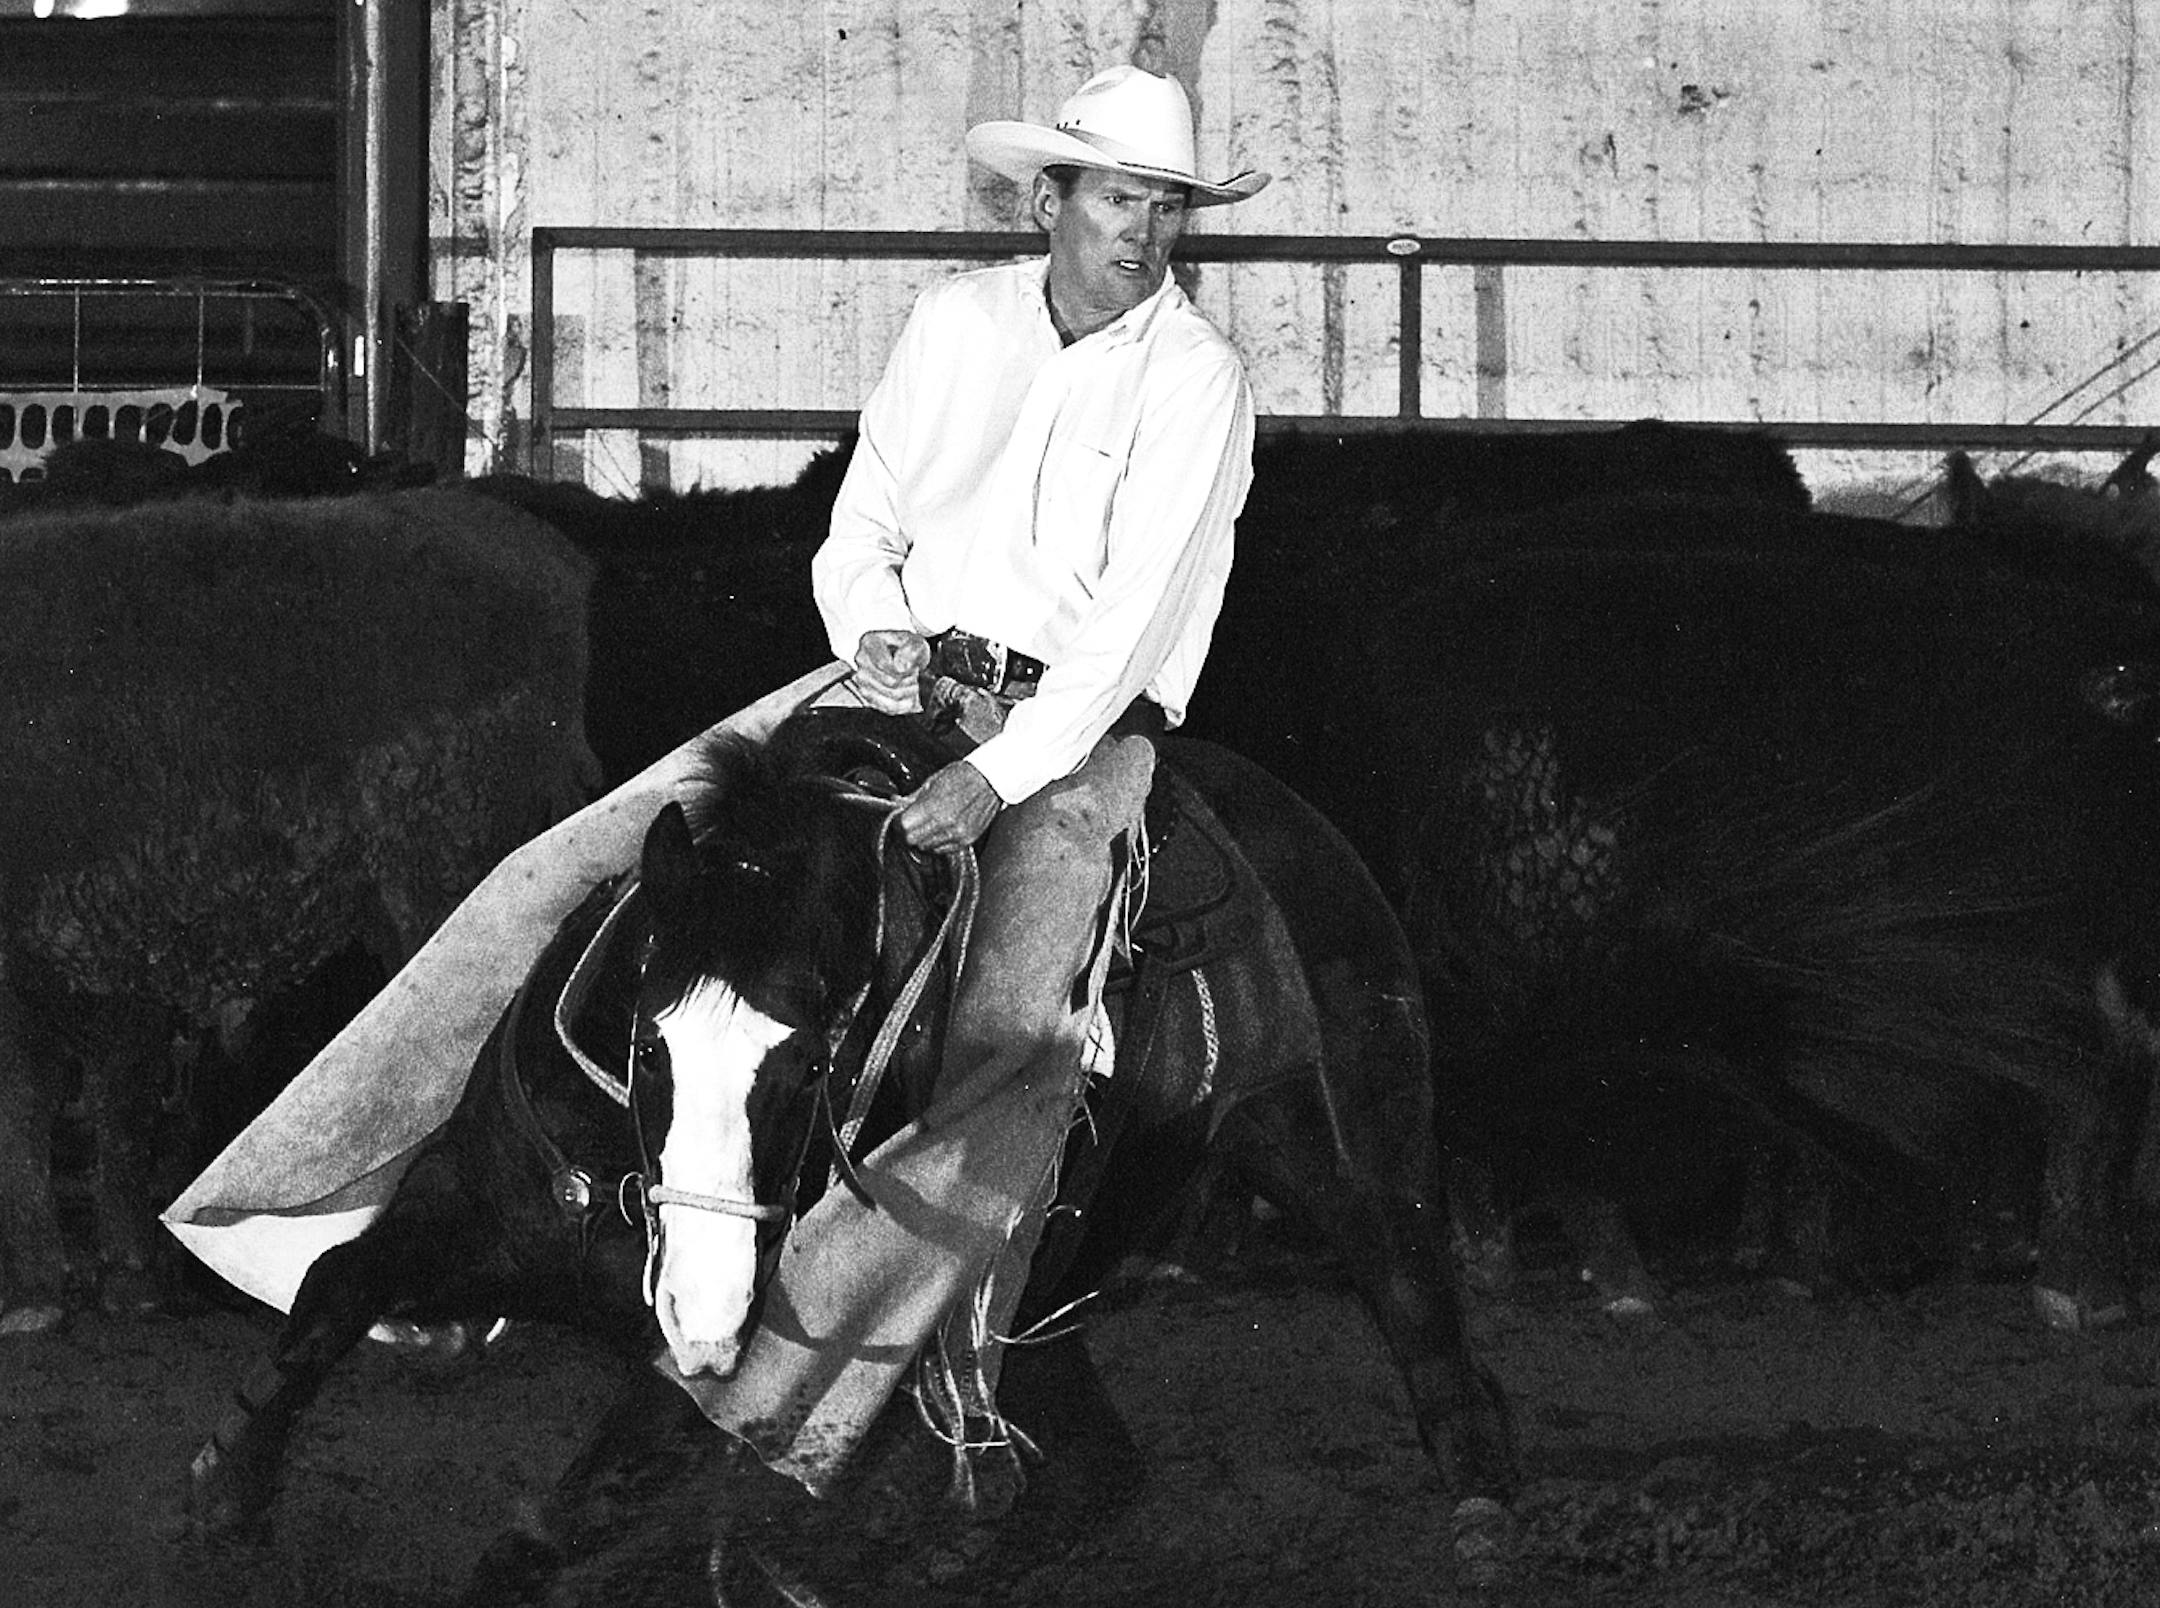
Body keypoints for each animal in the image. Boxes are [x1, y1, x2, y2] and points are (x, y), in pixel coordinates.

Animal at [186, 704, 1519, 1598]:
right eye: (650, 1041)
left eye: (813, 1062)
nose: (703, 1308)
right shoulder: (471, 1208)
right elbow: (333, 1288)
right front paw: (230, 1490)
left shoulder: (743, 1365)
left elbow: (571, 1507)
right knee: (1094, 1464)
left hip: (1361, 1160)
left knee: (1424, 1321)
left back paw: (1485, 1513)